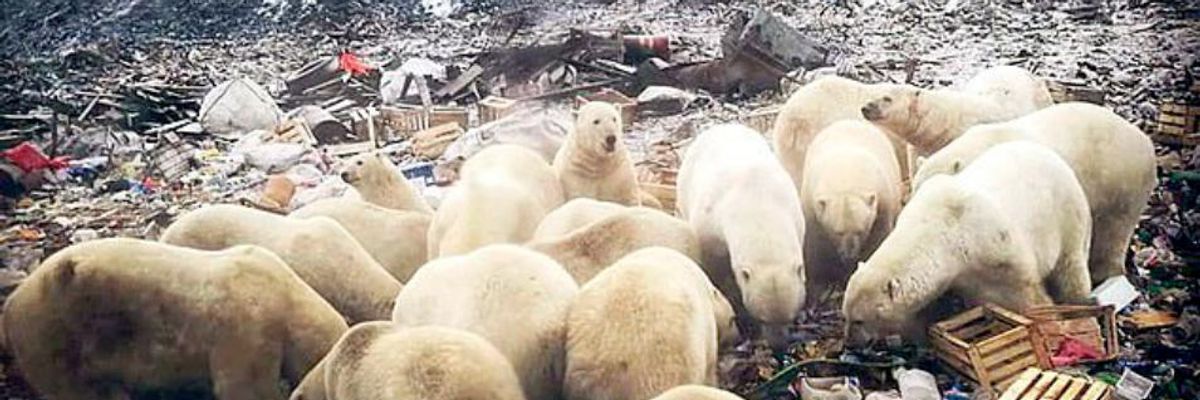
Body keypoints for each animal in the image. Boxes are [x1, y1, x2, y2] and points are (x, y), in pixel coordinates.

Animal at [801, 120, 902, 293]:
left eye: (860, 231)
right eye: (838, 232)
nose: (849, 255)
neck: (846, 176)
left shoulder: (882, 204)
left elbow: (878, 239)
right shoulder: (811, 207)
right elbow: (816, 245)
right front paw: (824, 281)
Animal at [843, 141, 1093, 344]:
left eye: (859, 320)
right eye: (845, 315)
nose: (850, 342)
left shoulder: (998, 249)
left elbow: (1026, 294)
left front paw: (1050, 325)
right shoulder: (961, 274)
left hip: (1067, 213)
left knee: (1071, 266)